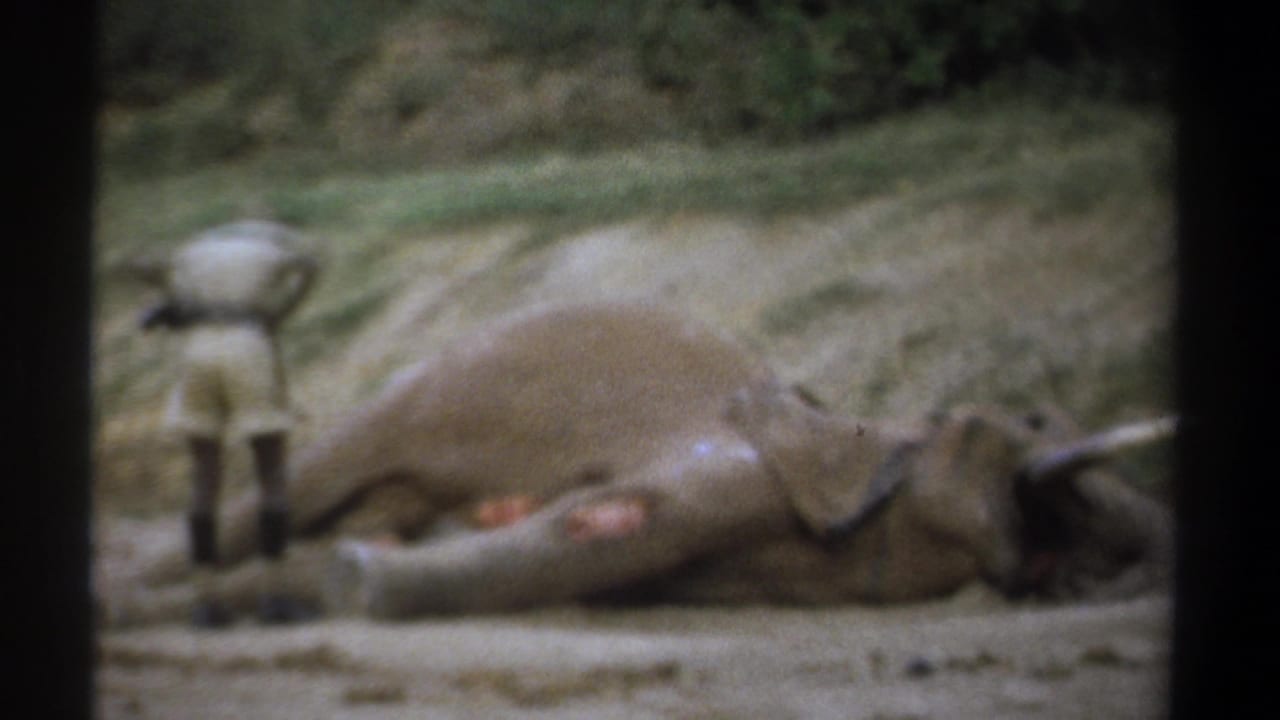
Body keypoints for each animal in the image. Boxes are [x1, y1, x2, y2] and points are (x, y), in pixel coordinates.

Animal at [101, 301, 1174, 625]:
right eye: (991, 422)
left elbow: (596, 538)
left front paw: (345, 579)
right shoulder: (733, 463)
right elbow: (602, 521)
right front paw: (353, 583)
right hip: (437, 382)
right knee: (318, 472)